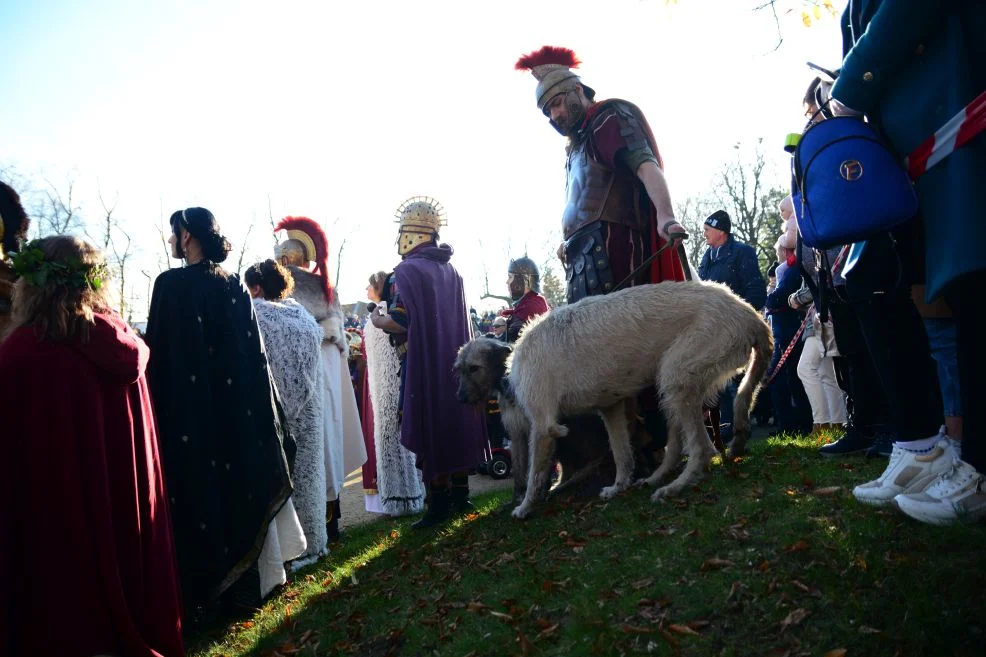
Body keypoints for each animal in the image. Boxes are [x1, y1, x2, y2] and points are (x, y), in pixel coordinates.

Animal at [458, 280, 772, 516]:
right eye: (456, 369)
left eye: (473, 368)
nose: (460, 398)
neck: (511, 365)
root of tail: (749, 313)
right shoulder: (611, 407)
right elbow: (622, 453)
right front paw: (619, 485)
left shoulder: (543, 425)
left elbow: (535, 473)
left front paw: (524, 506)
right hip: (672, 384)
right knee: (676, 442)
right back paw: (656, 477)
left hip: (677, 376)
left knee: (703, 449)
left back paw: (676, 486)